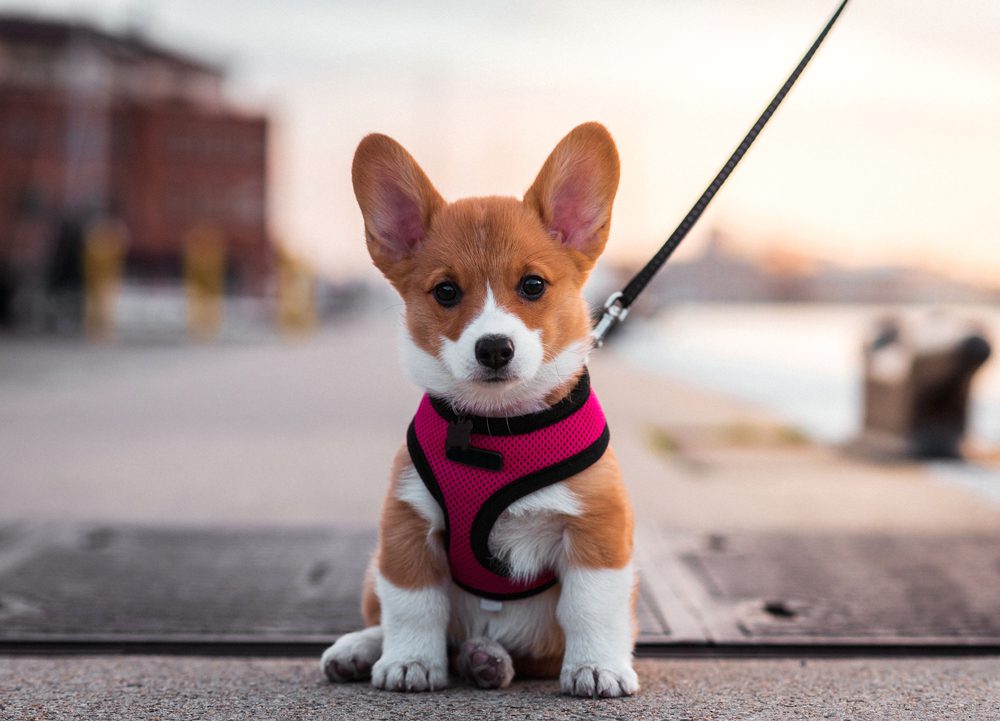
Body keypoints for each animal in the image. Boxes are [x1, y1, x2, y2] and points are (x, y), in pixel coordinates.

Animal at [322, 124, 640, 696]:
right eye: (446, 292)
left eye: (533, 285)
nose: (494, 348)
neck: (497, 426)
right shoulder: (406, 525)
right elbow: (413, 605)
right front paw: (411, 661)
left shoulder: (598, 528)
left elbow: (592, 607)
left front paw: (597, 667)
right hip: (373, 568)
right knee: (387, 617)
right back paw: (364, 649)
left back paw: (485, 658)